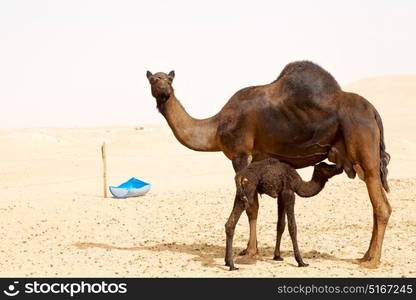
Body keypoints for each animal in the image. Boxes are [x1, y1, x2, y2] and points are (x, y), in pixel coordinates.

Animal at [145, 59, 390, 268]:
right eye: (153, 79)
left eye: (168, 79)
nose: (164, 91)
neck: (216, 127)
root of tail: (373, 112)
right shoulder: (258, 158)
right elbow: (256, 206)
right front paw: (250, 250)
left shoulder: (240, 154)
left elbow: (251, 206)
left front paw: (250, 253)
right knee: (379, 204)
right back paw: (365, 256)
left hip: (364, 151)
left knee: (381, 206)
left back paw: (372, 261)